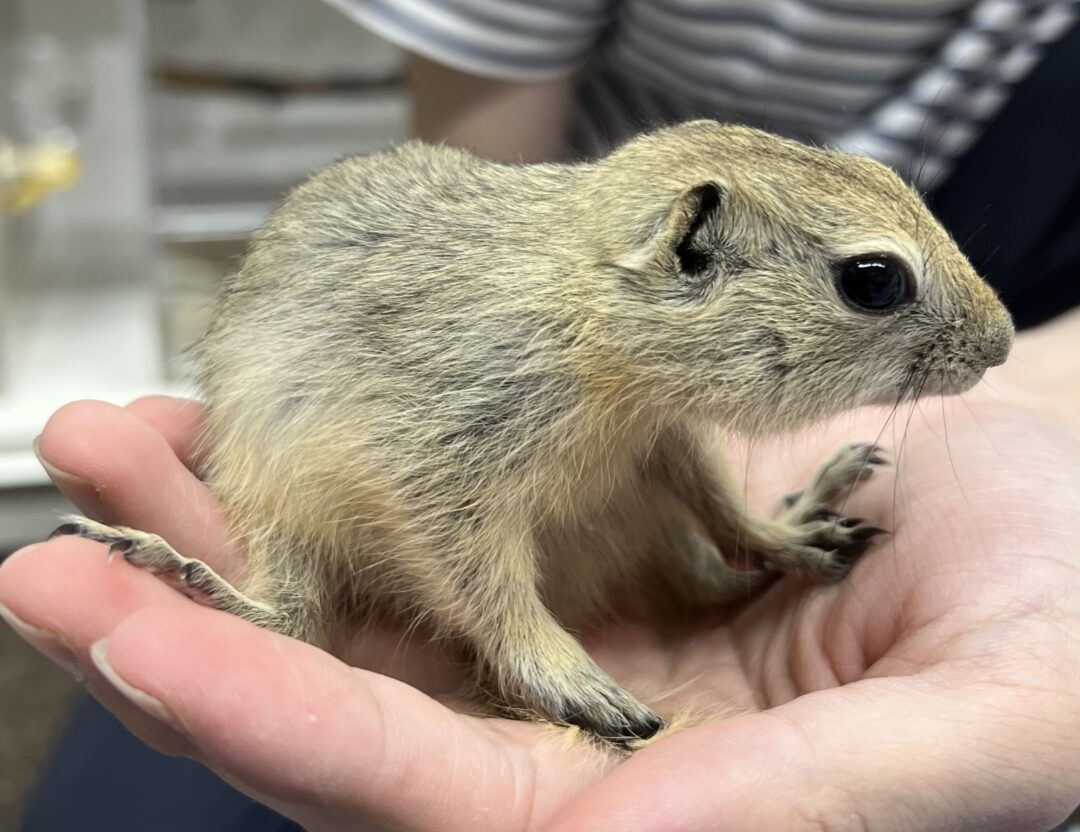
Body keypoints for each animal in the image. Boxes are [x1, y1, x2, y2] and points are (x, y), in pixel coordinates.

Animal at [59, 121, 1010, 743]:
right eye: (874, 280)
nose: (1001, 345)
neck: (593, 321)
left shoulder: (662, 438)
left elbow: (721, 502)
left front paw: (780, 528)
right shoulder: (435, 463)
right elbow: (486, 588)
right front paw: (570, 679)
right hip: (280, 504)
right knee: (293, 618)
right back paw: (189, 573)